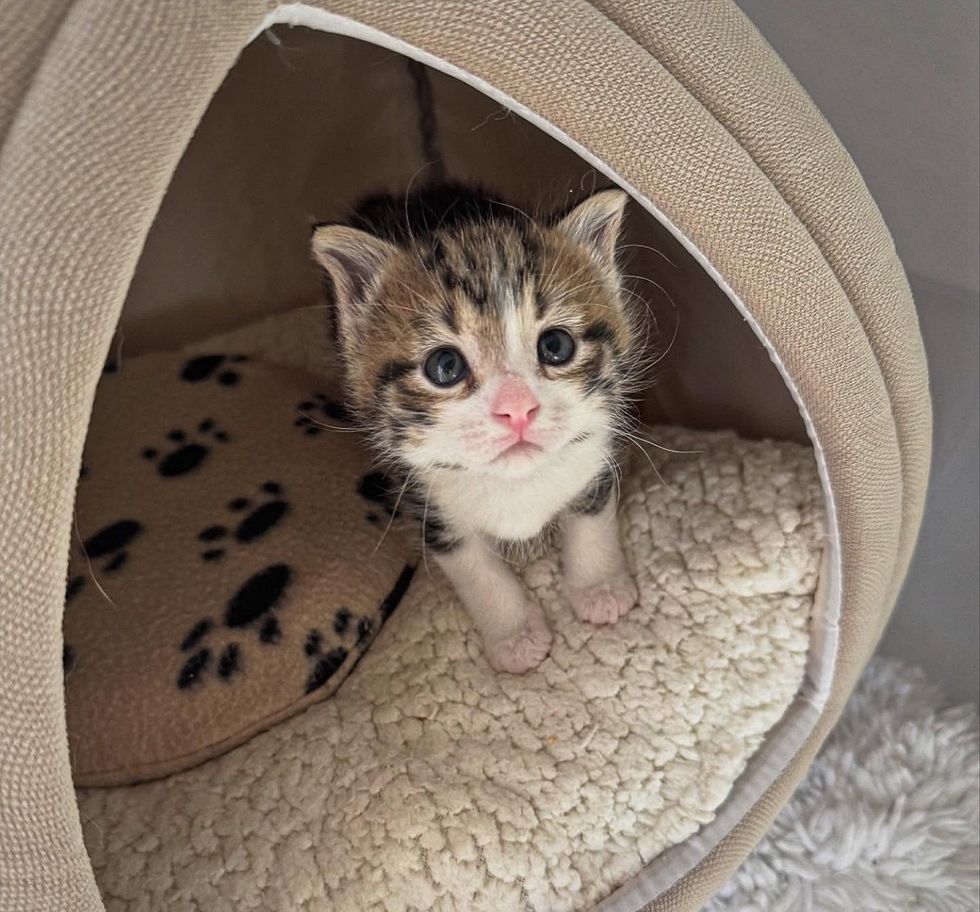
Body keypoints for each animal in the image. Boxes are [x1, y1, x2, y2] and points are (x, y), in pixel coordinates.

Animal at [310, 183, 640, 668]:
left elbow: (591, 517)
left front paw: (599, 588)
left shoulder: (594, 450)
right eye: (445, 366)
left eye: (556, 346)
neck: (514, 484)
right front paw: (515, 636)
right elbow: (476, 568)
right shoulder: (424, 501)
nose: (517, 409)